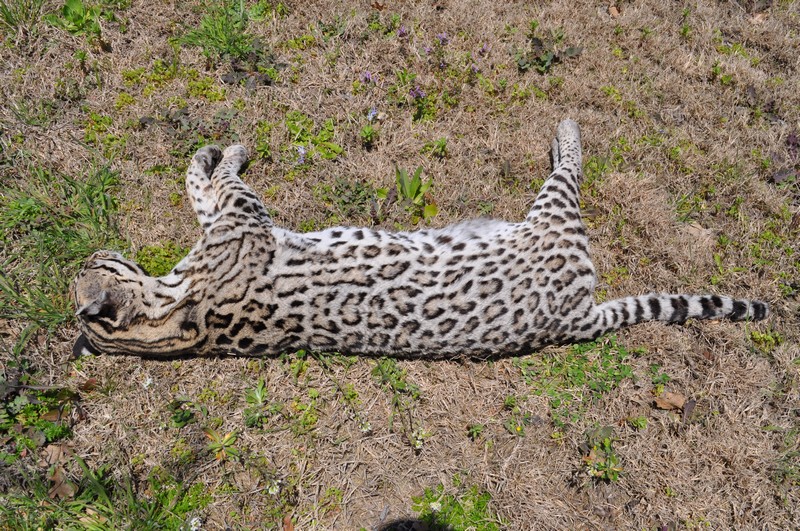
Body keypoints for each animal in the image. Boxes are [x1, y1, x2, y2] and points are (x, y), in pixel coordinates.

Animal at [73, 120, 768, 360]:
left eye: (93, 257)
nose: (85, 256)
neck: (173, 314)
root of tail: (575, 318)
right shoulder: (243, 217)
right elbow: (212, 183)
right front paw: (225, 150)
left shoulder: (234, 220)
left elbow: (202, 184)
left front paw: (213, 149)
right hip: (554, 219)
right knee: (570, 168)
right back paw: (569, 127)